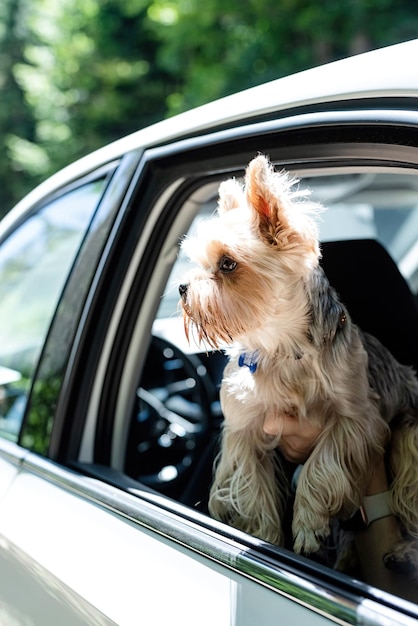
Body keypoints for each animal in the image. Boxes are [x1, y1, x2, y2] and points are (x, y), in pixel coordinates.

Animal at [178, 154, 418, 572]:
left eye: (227, 264)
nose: (181, 288)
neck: (280, 346)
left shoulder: (356, 419)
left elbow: (323, 463)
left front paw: (307, 525)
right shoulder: (243, 431)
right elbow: (253, 487)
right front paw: (267, 537)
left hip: (408, 423)